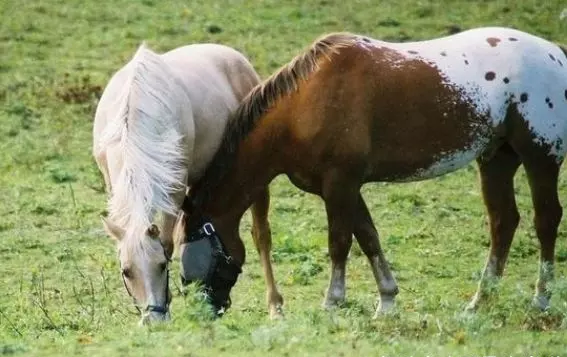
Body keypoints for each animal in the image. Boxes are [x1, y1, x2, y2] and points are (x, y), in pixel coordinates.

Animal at [93, 41, 278, 322]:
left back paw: (275, 306)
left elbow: (168, 243)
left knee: (261, 236)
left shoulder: (175, 191)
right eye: (126, 271)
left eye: (161, 266)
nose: (154, 320)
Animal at [185, 27, 567, 318]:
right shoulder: (343, 187)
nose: (205, 312)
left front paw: (332, 302)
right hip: (496, 159)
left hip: (540, 158)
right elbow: (368, 237)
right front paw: (386, 301)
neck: (307, 102)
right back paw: (479, 303)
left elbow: (339, 243)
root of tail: (555, 55)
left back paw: (541, 299)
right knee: (503, 223)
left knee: (546, 221)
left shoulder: (340, 183)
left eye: (200, 257)